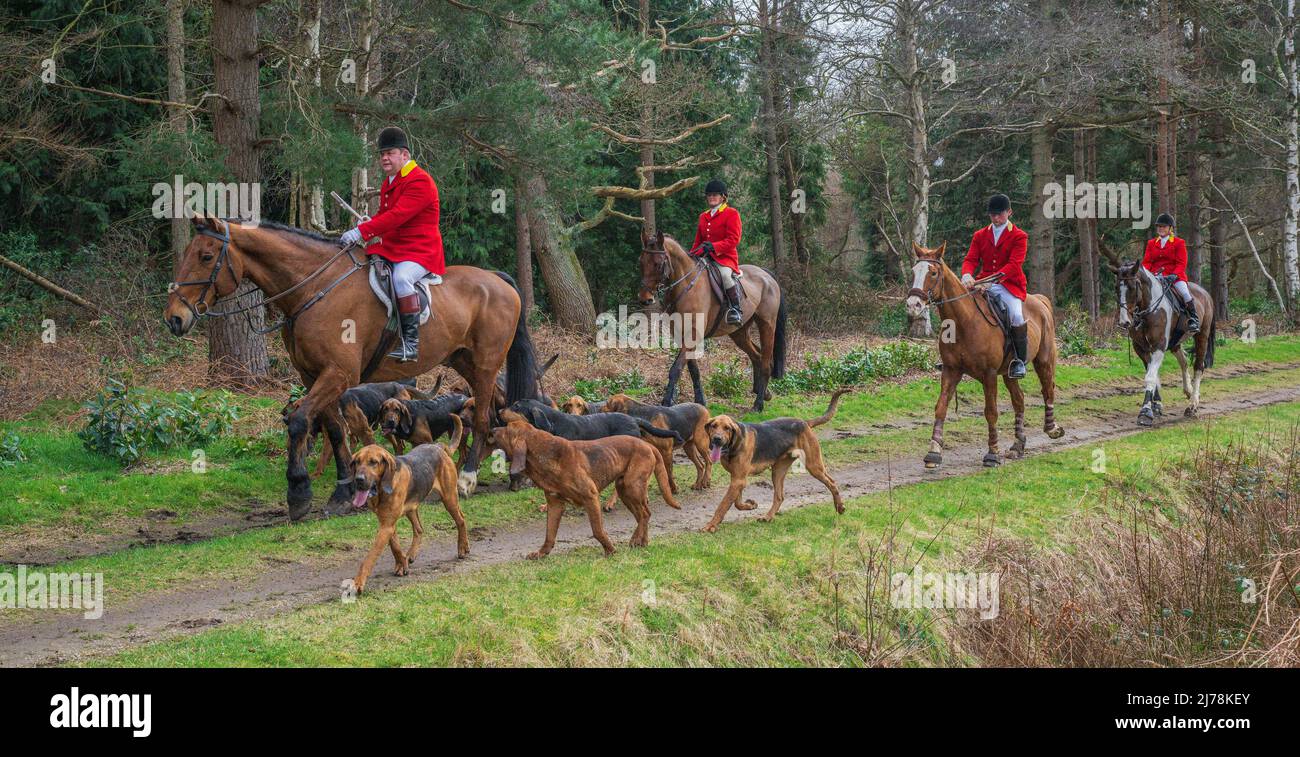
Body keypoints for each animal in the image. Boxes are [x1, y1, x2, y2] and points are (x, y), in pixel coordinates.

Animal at [163, 217, 538, 520]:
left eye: (206, 256)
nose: (174, 319)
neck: (314, 289)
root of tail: (495, 278)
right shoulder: (315, 375)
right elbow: (334, 430)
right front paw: (342, 491)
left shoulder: (337, 374)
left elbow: (299, 421)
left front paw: (298, 493)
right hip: (465, 361)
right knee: (493, 411)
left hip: (486, 363)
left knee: (483, 417)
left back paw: (467, 477)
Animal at [637, 230, 785, 413]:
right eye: (641, 262)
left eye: (658, 264)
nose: (645, 299)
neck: (686, 286)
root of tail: (766, 275)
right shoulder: (682, 336)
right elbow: (693, 369)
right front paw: (700, 401)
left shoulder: (693, 335)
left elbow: (676, 369)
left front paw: (666, 403)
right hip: (739, 332)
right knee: (756, 356)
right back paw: (763, 393)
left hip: (767, 325)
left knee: (765, 362)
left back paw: (758, 404)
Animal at [904, 243, 1066, 468]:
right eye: (913, 272)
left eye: (933, 272)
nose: (913, 305)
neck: (964, 322)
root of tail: (1039, 300)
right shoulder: (951, 371)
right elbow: (941, 407)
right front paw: (933, 453)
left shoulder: (988, 375)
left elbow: (991, 412)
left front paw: (992, 453)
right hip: (1009, 372)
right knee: (1019, 400)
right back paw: (1018, 445)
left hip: (1044, 360)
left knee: (1047, 389)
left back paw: (1052, 428)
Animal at [1107, 261, 1216, 426]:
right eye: (1116, 288)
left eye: (1132, 287)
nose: (1124, 322)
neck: (1148, 311)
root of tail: (1205, 293)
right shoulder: (1141, 348)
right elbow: (1153, 374)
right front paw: (1156, 405)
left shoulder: (1158, 347)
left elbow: (1151, 377)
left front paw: (1145, 412)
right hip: (1175, 342)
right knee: (1184, 362)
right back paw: (1189, 390)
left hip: (1201, 336)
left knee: (1198, 367)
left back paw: (1193, 405)